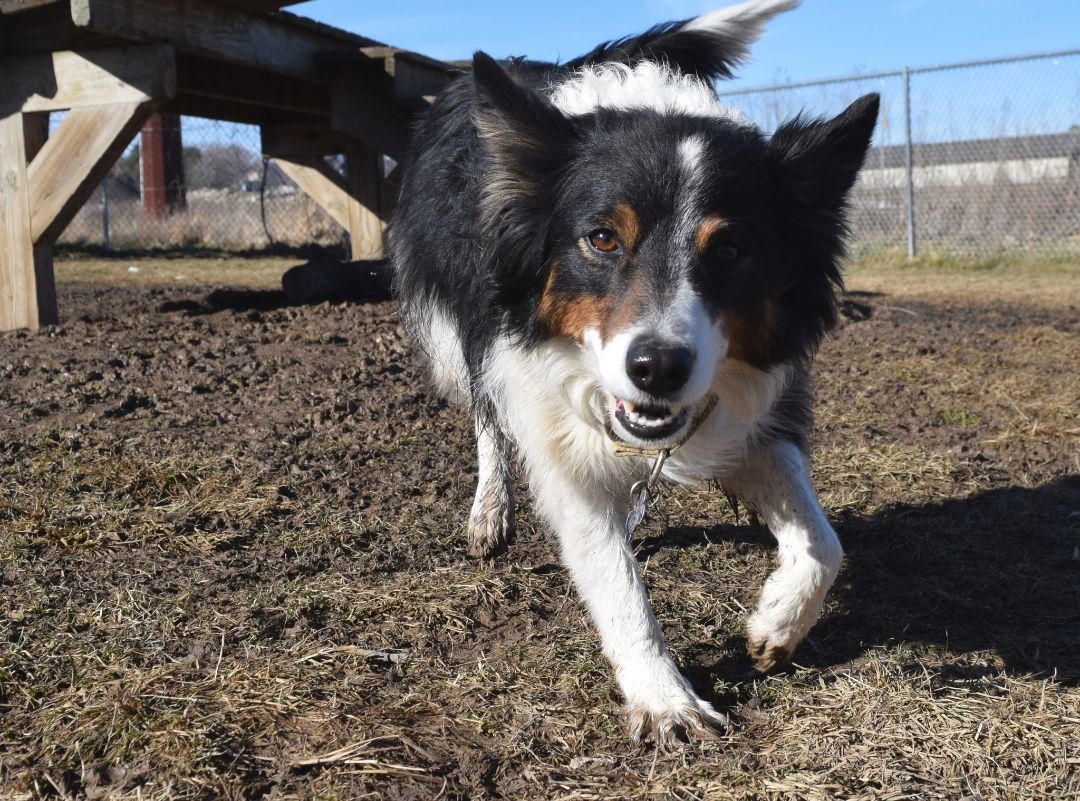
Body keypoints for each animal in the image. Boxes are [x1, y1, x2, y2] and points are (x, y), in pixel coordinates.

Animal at [388, 0, 876, 747]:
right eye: (601, 238)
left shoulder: (755, 409)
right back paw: (489, 511)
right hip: (457, 331)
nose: (657, 369)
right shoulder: (546, 412)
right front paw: (665, 696)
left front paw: (777, 626)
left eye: (730, 250)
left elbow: (825, 542)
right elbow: (615, 578)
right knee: (485, 419)